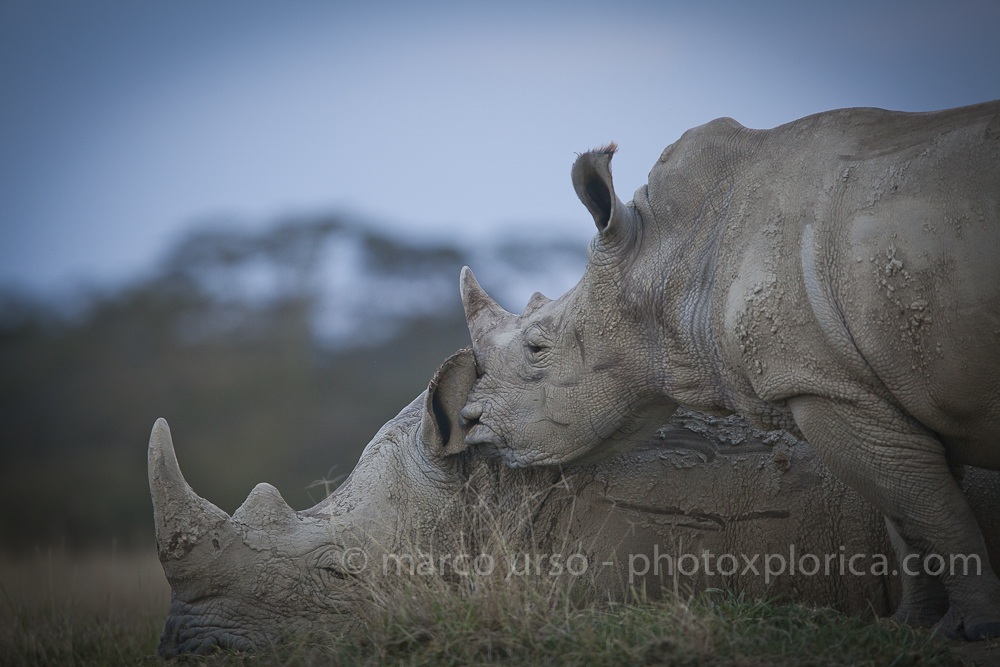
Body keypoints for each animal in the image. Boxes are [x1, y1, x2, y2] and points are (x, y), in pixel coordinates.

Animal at [460, 101, 1000, 639]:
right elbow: (911, 516)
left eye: (537, 348)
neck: (674, 255)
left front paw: (974, 630)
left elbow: (928, 511)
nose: (468, 421)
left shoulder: (828, 386)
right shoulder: (875, 394)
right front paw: (909, 627)